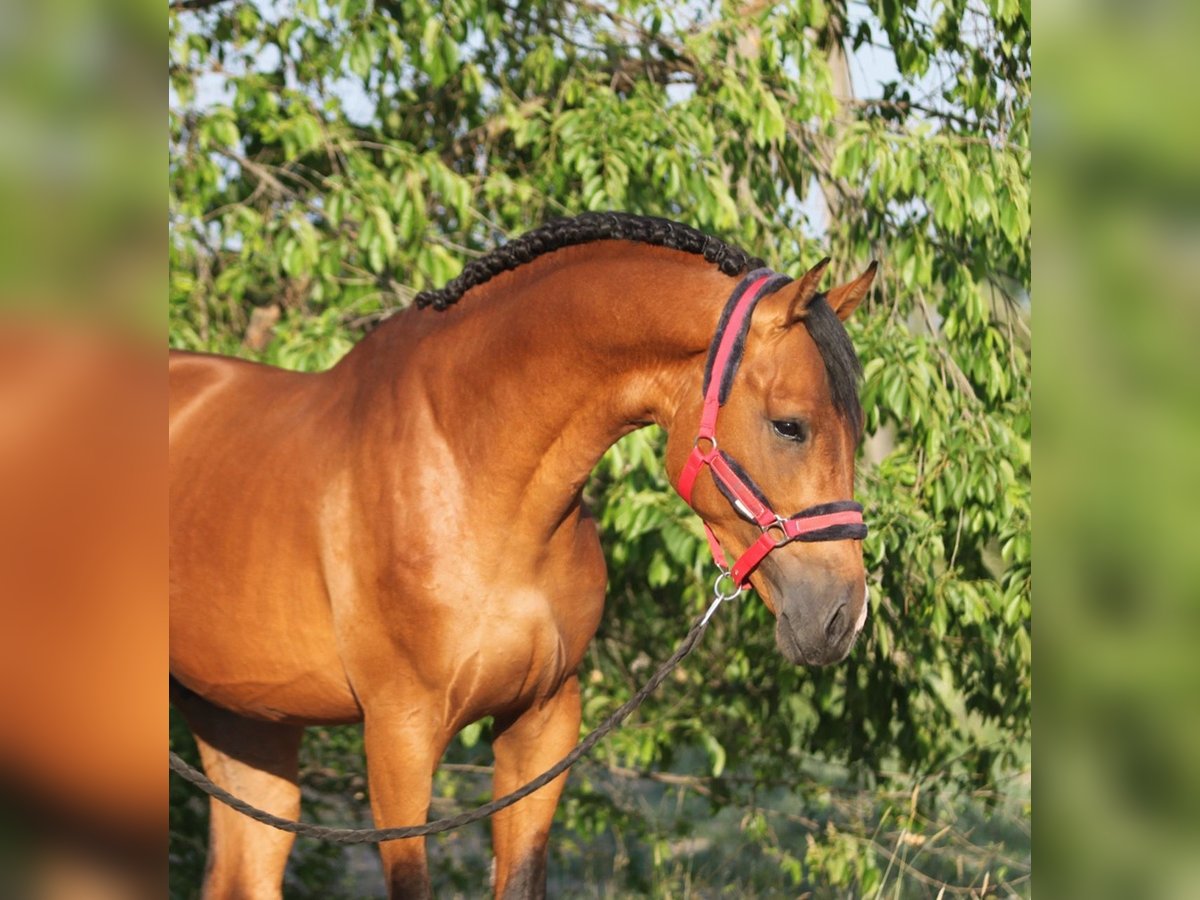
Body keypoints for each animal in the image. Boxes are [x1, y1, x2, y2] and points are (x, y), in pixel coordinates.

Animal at [169, 214, 878, 897]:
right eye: (789, 425)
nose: (842, 618)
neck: (471, 472)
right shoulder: (399, 737)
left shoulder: (543, 722)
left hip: (246, 724)